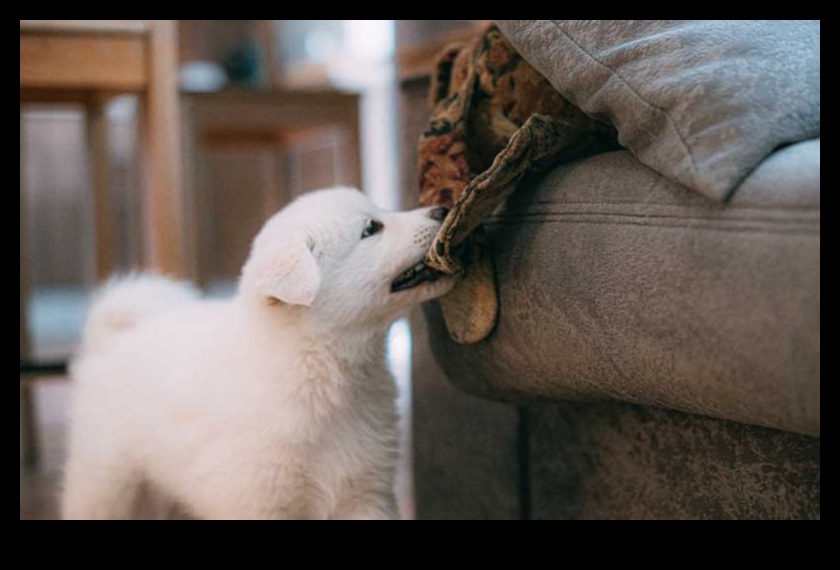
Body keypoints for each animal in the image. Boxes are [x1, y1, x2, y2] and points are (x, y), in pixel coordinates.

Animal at [62, 189, 456, 516]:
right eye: (371, 228)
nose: (442, 208)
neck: (319, 367)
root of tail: (112, 341)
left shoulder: (365, 493)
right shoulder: (259, 500)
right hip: (107, 483)